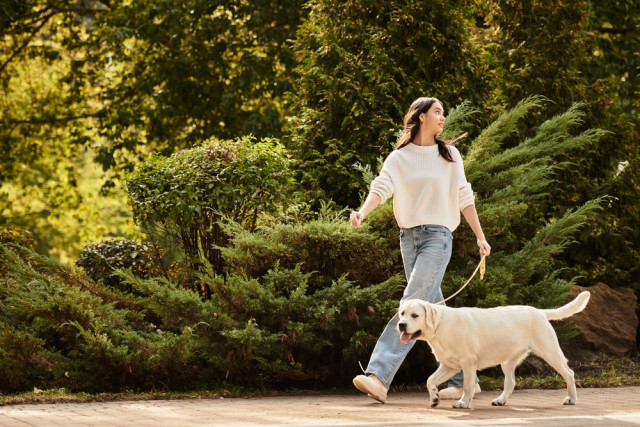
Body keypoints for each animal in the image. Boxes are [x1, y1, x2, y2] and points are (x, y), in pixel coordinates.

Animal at [400, 292, 592, 410]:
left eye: (415, 315)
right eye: (402, 313)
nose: (401, 325)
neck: (440, 325)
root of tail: (539, 312)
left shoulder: (468, 363)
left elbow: (468, 386)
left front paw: (463, 403)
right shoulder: (449, 366)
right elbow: (430, 380)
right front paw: (434, 398)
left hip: (550, 352)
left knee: (569, 373)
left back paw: (572, 399)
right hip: (507, 362)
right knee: (511, 382)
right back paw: (501, 400)